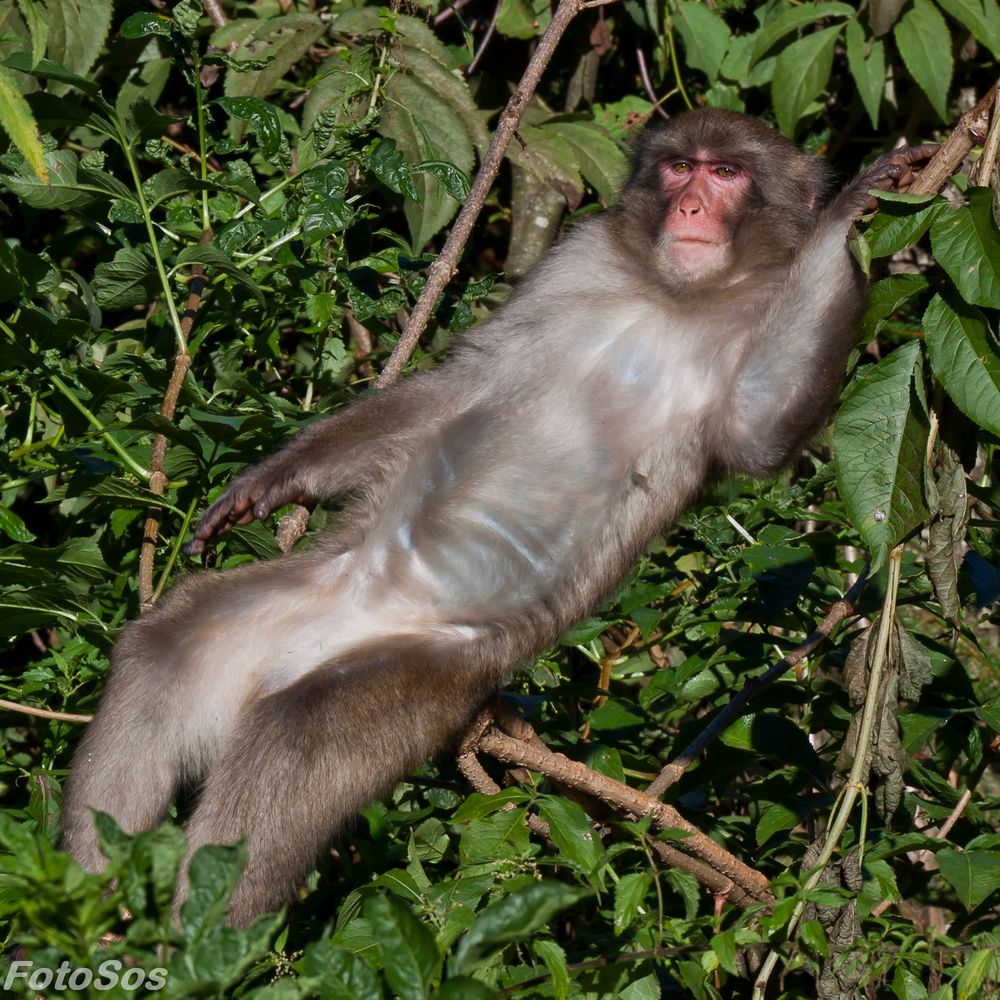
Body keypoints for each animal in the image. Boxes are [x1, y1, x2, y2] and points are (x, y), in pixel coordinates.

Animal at [62, 111, 936, 928]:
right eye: (680, 166)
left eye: (727, 173)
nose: (690, 205)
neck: (679, 294)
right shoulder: (578, 258)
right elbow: (464, 381)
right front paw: (270, 482)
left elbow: (758, 430)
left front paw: (847, 213)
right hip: (301, 598)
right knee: (166, 647)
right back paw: (93, 912)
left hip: (432, 680)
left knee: (296, 737)